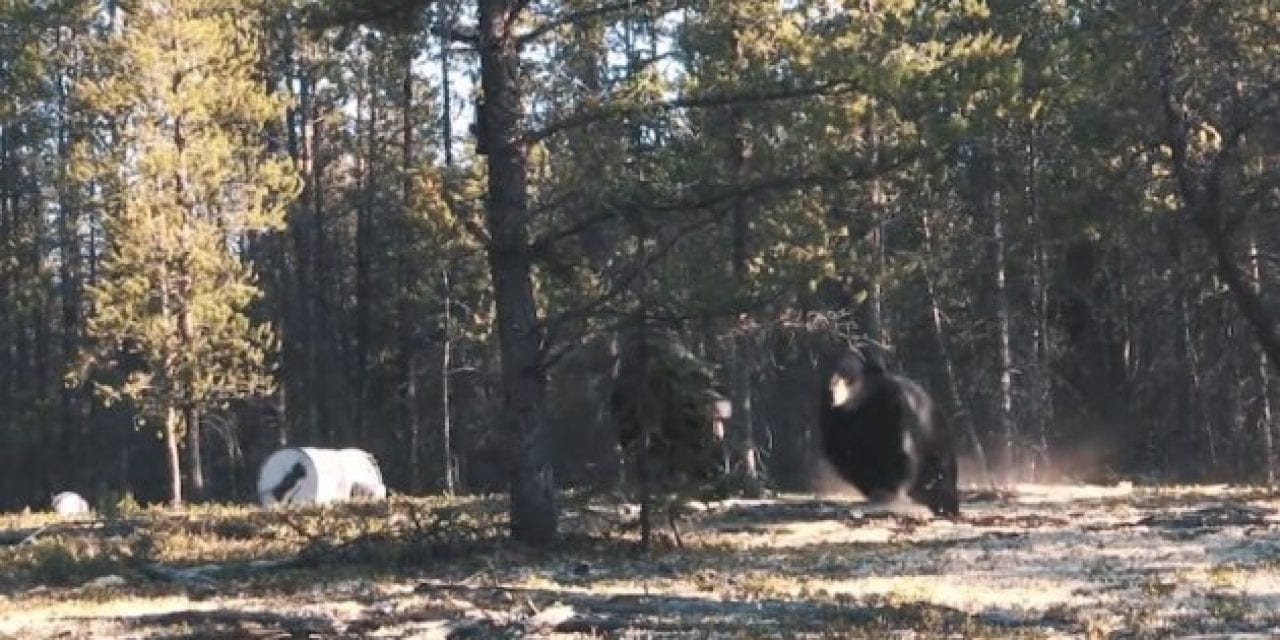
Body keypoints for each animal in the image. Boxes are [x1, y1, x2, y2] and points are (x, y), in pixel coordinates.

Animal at [819, 348, 962, 517]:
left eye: (847, 377)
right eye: (832, 375)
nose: (832, 390)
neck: (859, 405)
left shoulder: (895, 406)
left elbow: (901, 449)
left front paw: (889, 495)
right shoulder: (834, 418)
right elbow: (844, 454)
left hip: (936, 443)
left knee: (941, 473)